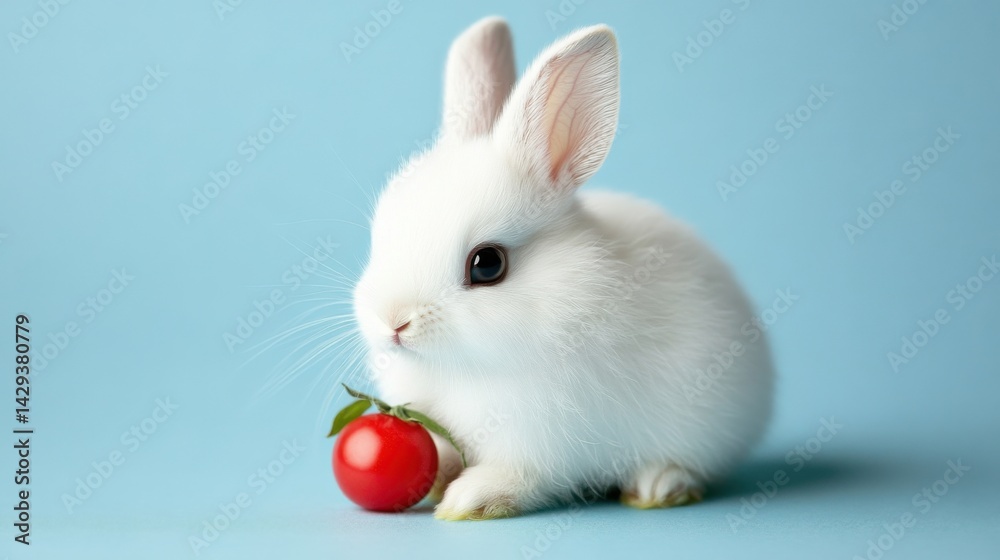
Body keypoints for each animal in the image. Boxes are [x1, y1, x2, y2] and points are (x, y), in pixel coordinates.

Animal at [351, 16, 774, 520]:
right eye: (381, 233)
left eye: (487, 264)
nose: (393, 322)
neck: (460, 366)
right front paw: (439, 480)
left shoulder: (539, 440)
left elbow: (520, 477)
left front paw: (470, 500)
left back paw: (657, 486)